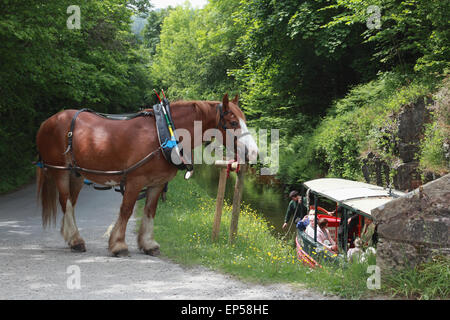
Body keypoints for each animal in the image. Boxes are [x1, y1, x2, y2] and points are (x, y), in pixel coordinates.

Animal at [36, 94, 256, 256]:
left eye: (244, 120)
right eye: (233, 122)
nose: (254, 152)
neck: (163, 133)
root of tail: (48, 121)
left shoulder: (157, 183)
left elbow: (150, 211)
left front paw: (148, 244)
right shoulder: (135, 181)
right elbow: (126, 210)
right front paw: (118, 245)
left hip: (77, 175)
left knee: (70, 203)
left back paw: (72, 238)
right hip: (60, 171)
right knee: (65, 202)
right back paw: (75, 240)